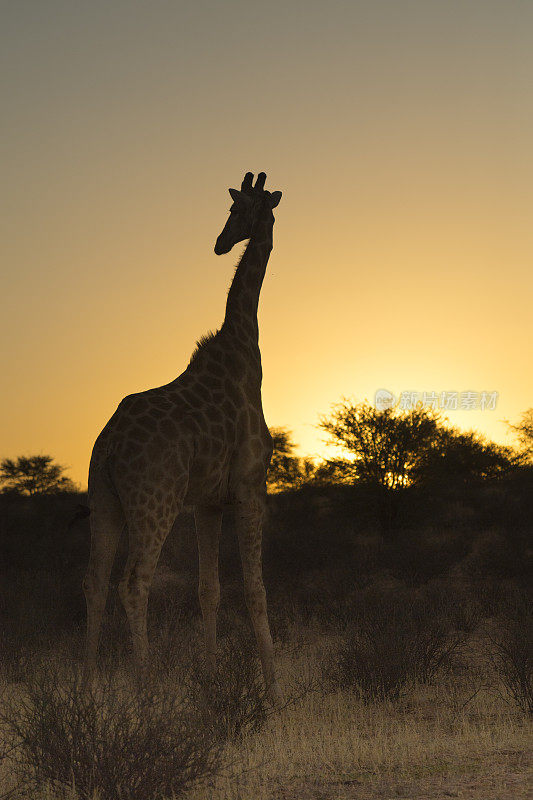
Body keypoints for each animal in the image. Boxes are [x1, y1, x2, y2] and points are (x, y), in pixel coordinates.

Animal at [83, 170, 282, 700]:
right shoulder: (251, 486)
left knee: (95, 581)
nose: (220, 243)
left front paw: (210, 680)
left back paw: (83, 687)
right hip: (156, 501)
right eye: (234, 208)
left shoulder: (209, 500)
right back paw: (145, 688)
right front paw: (274, 692)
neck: (246, 348)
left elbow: (208, 588)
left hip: (105, 500)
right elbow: (255, 588)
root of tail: (108, 446)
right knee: (134, 582)